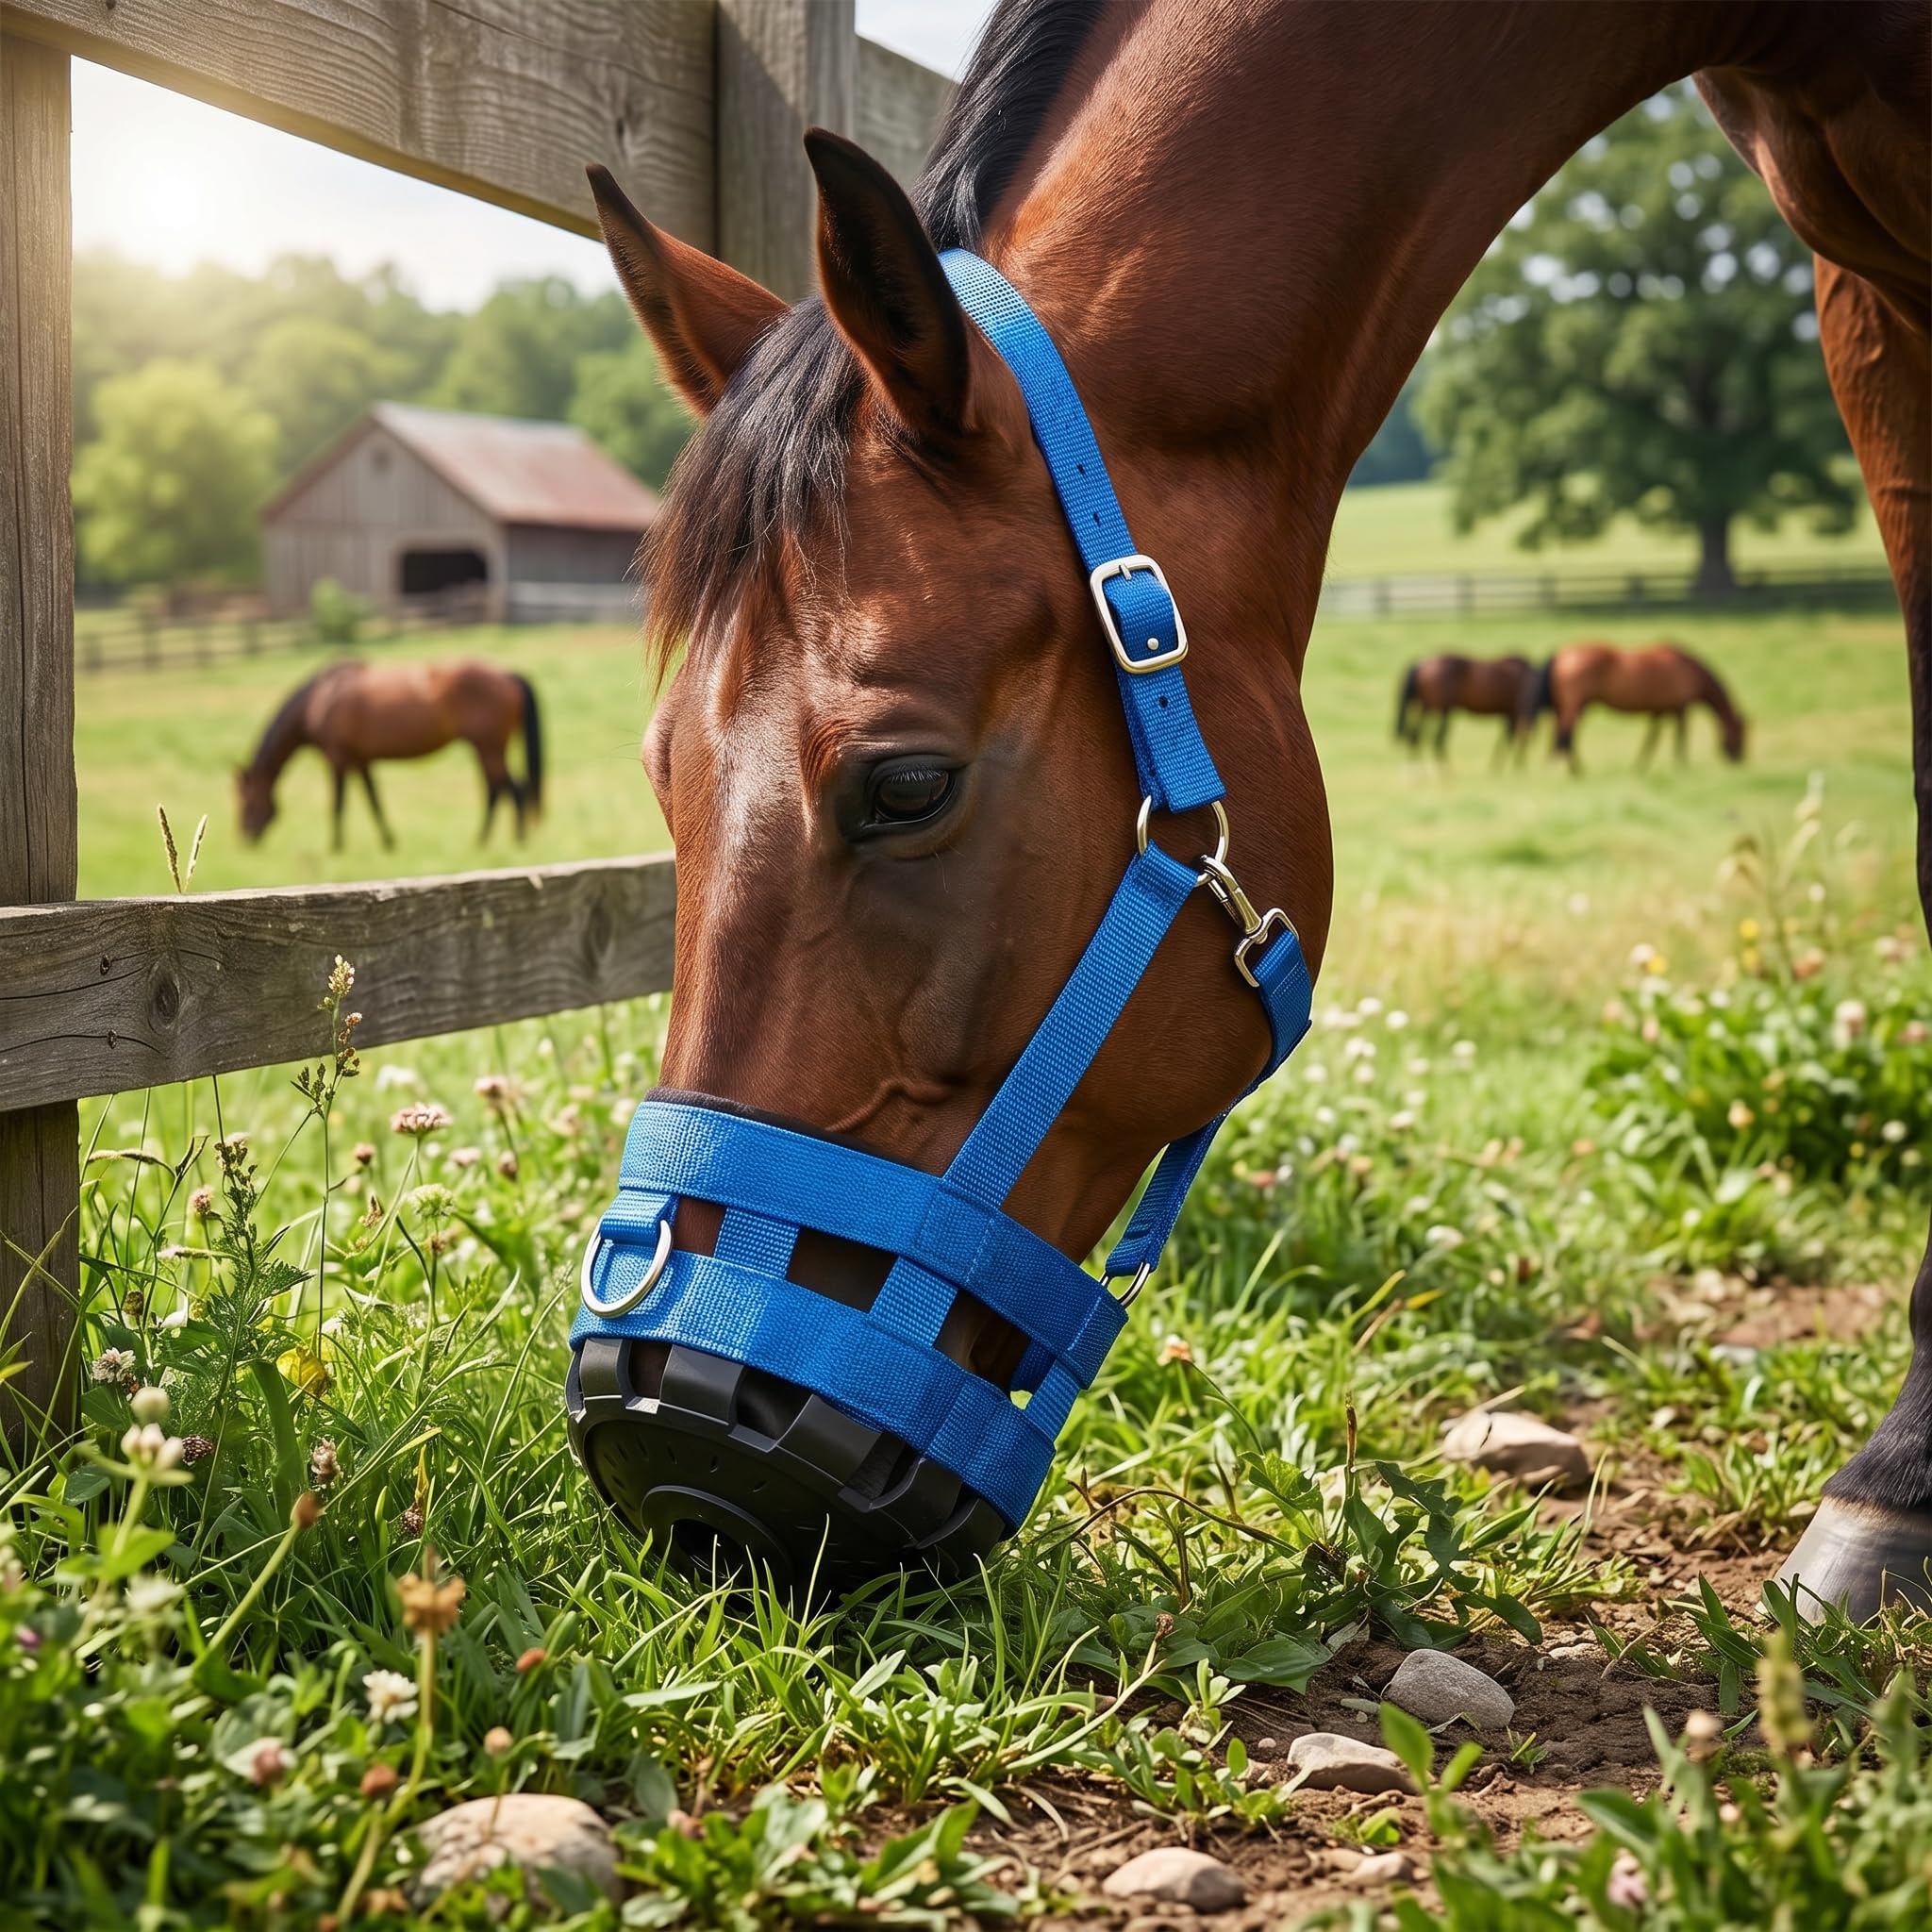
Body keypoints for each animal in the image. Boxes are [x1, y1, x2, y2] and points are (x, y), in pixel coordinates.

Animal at [236, 659, 543, 849]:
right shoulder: (361, 759)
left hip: (489, 747)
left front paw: (335, 846)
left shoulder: (337, 757)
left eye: (246, 803)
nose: (244, 837)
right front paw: (388, 841)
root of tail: (507, 674)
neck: (321, 698)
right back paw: (483, 840)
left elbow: (338, 804)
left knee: (514, 789)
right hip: (484, 747)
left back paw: (513, 841)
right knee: (496, 791)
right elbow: (374, 801)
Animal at [1395, 653, 1538, 765]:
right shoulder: (1513, 712)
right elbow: (1511, 737)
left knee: (1415, 736)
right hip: (1442, 709)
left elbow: (1509, 737)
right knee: (1435, 739)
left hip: (1428, 708)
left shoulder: (1510, 713)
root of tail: (1421, 664)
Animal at [1529, 641, 1747, 771]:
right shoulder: (1680, 709)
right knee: (1566, 737)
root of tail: (1561, 654)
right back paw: (1577, 772)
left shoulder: (1660, 711)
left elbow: (1651, 740)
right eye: (1741, 734)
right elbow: (1680, 738)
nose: (1740, 759)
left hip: (1571, 707)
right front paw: (1682, 766)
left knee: (1563, 737)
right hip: (1574, 707)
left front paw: (1639, 766)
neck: (1689, 670)